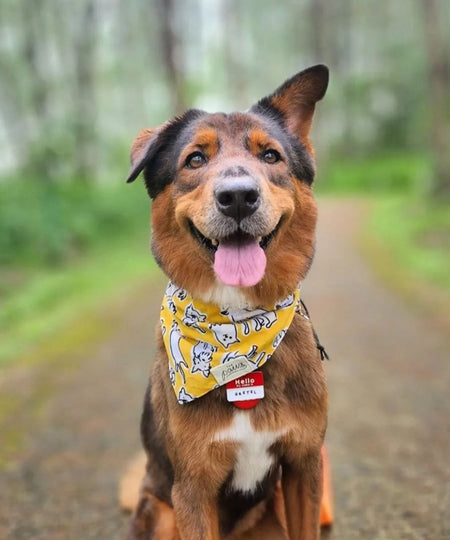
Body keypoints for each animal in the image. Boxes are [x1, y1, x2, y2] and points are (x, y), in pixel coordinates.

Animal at [125, 64, 328, 540]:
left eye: (270, 156)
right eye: (195, 160)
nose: (238, 196)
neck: (236, 327)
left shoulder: (304, 465)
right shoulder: (193, 489)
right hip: (162, 512)